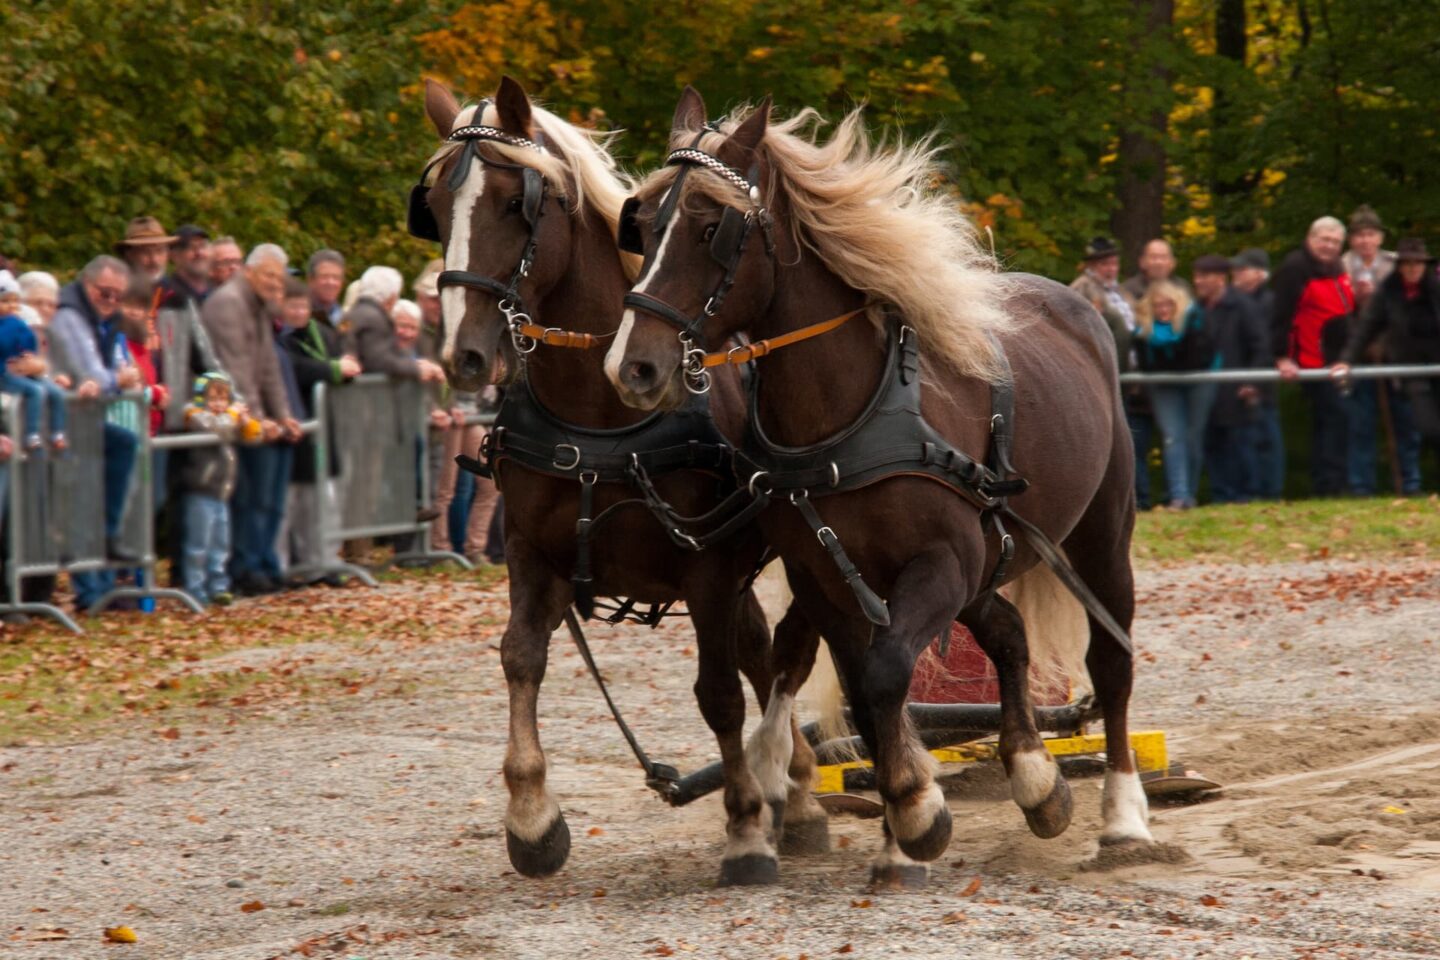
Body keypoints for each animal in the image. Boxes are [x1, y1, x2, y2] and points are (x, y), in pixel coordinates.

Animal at [408, 78, 835, 892]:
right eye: (437, 208)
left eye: (514, 204)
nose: (465, 356)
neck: (599, 416)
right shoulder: (529, 553)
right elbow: (520, 658)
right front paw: (532, 819)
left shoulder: (709, 568)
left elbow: (718, 695)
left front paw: (744, 826)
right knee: (763, 652)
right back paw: (794, 788)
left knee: (766, 661)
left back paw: (789, 796)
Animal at [601, 89, 1152, 886]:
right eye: (641, 224)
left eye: (711, 228)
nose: (631, 367)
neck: (848, 412)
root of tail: (1078, 309)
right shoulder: (827, 577)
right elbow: (865, 691)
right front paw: (906, 809)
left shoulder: (941, 564)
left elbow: (889, 675)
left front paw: (916, 813)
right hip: (987, 556)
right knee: (1007, 635)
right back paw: (1034, 778)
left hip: (1098, 536)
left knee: (1110, 663)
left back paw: (1125, 817)